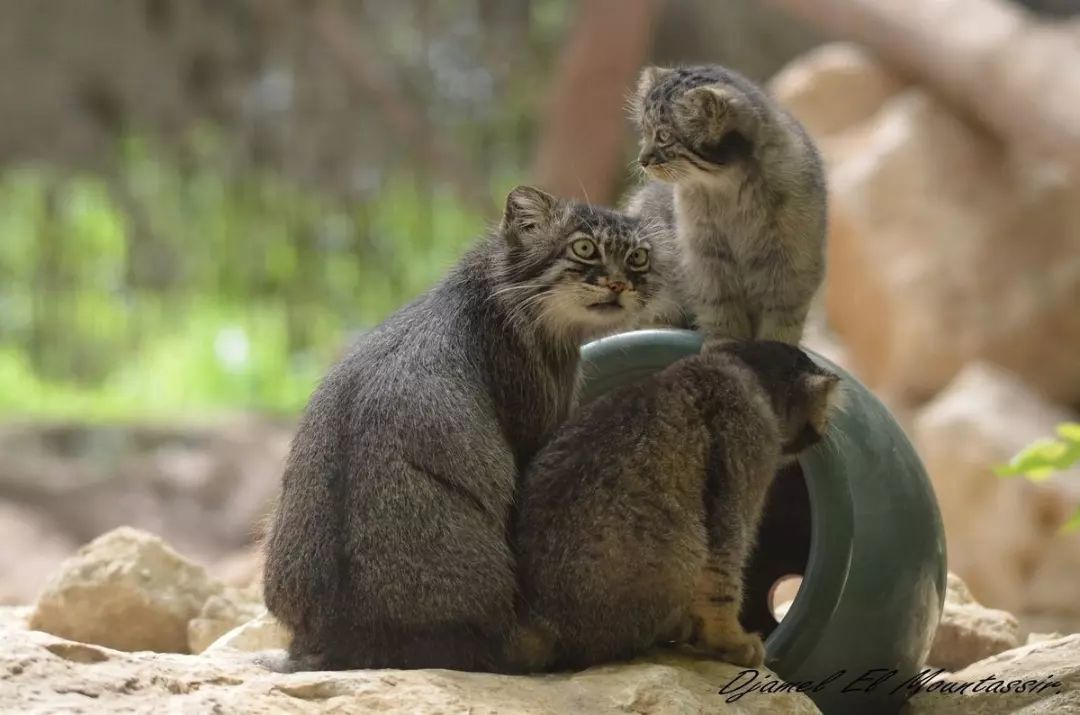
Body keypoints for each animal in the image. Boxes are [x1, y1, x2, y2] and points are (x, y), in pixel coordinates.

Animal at [260, 183, 669, 673]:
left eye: (638, 258)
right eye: (584, 248)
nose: (621, 284)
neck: (500, 288)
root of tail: (345, 634)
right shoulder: (537, 435)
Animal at [509, 341, 838, 673]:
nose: (825, 430)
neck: (738, 366)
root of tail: (546, 622)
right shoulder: (739, 481)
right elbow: (723, 580)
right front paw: (733, 642)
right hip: (685, 548)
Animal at [626, 64, 825, 345]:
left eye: (663, 135)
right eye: (644, 131)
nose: (641, 160)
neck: (731, 192)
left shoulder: (792, 268)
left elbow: (780, 324)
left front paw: (774, 349)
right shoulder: (706, 260)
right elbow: (723, 312)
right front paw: (725, 344)